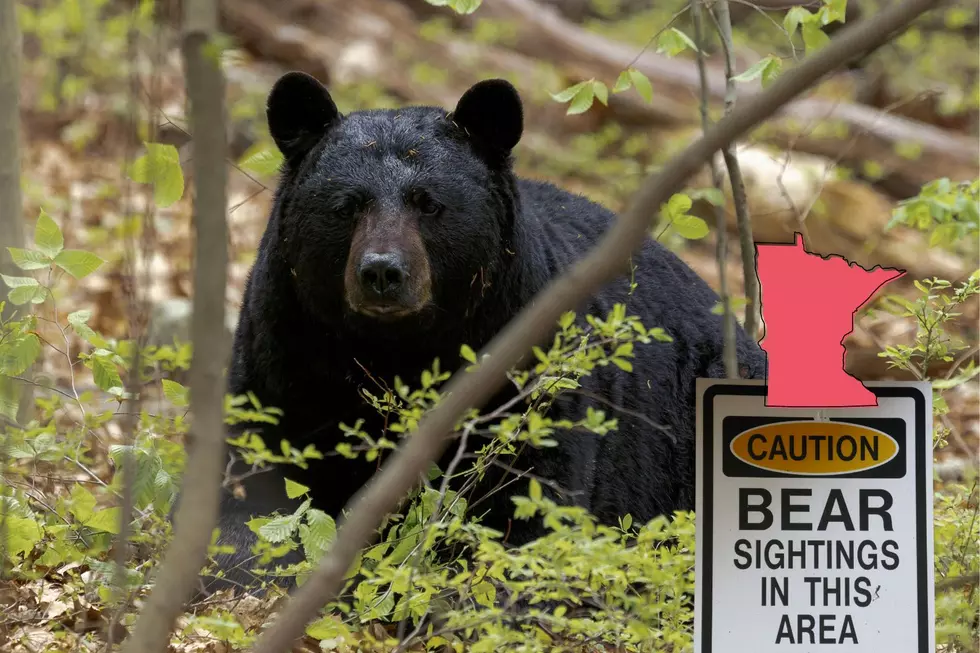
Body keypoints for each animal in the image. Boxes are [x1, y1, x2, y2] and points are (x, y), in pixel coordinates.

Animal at [199, 71, 764, 592]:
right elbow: (255, 477)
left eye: (428, 202)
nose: (382, 272)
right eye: (347, 205)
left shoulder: (526, 363)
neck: (395, 350)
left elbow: (530, 498)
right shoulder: (285, 348)